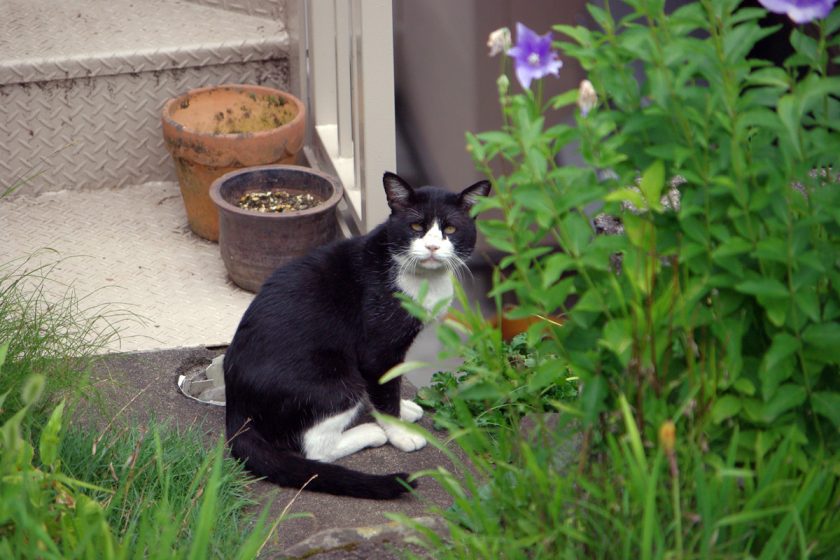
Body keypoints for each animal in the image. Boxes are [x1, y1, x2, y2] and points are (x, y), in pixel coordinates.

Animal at [223, 171, 488, 498]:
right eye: (416, 226)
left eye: (450, 229)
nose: (432, 248)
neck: (421, 279)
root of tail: (237, 408)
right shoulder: (377, 350)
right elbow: (384, 390)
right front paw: (400, 433)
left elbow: (390, 387)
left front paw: (403, 410)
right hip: (336, 377)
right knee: (316, 448)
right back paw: (371, 432)